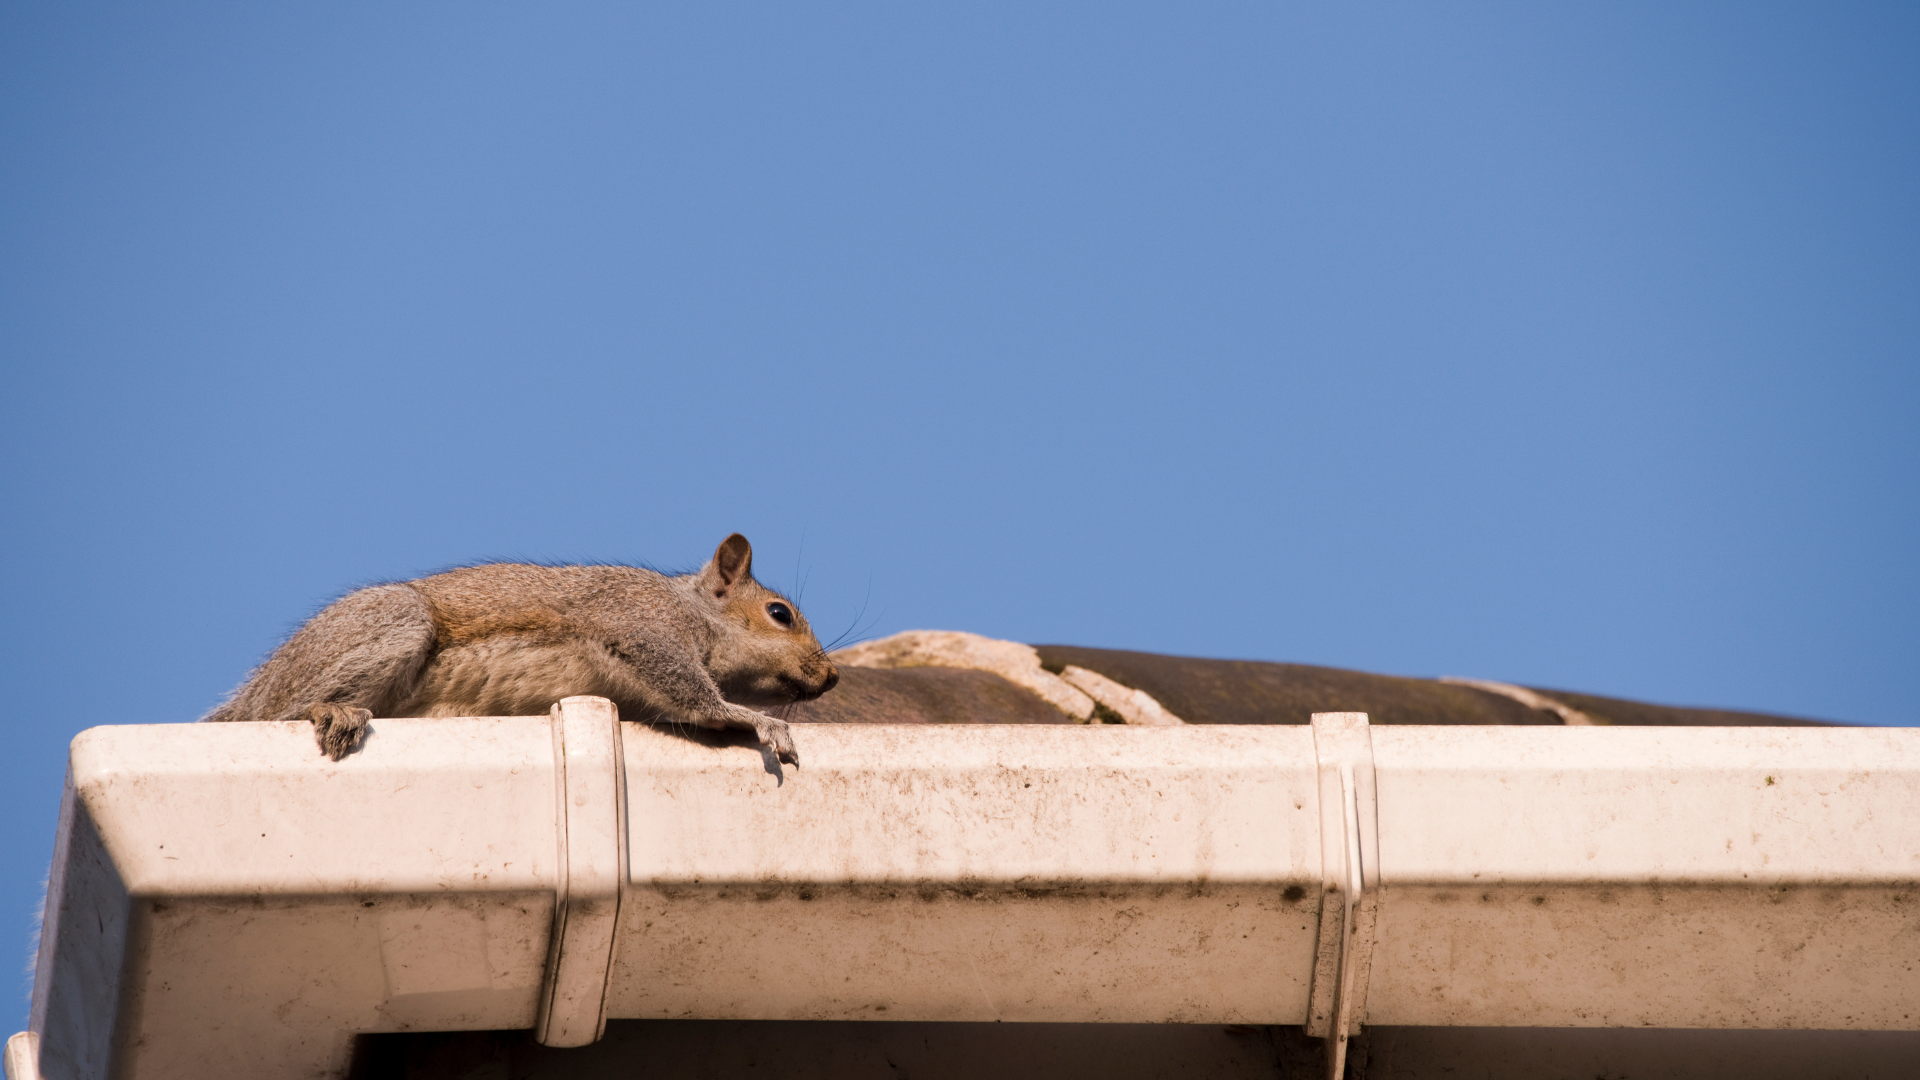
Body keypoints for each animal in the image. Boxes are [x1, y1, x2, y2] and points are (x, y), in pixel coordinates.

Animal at [202, 534, 836, 765]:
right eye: (779, 614)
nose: (830, 677)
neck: (695, 612)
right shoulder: (639, 624)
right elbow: (695, 695)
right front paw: (754, 719)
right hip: (394, 624)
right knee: (284, 711)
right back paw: (331, 710)